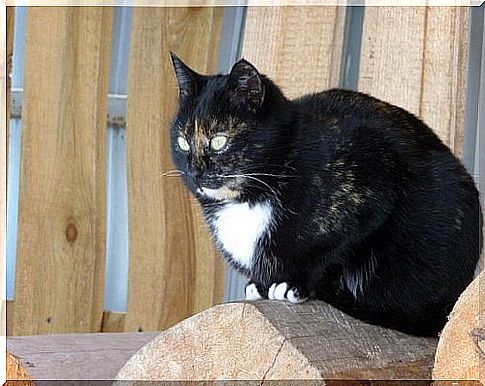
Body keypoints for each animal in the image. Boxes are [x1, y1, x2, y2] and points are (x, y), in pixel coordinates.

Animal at [168, 52, 482, 336]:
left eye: (219, 141)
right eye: (183, 142)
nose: (195, 172)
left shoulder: (374, 191)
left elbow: (332, 252)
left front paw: (295, 284)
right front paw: (261, 284)